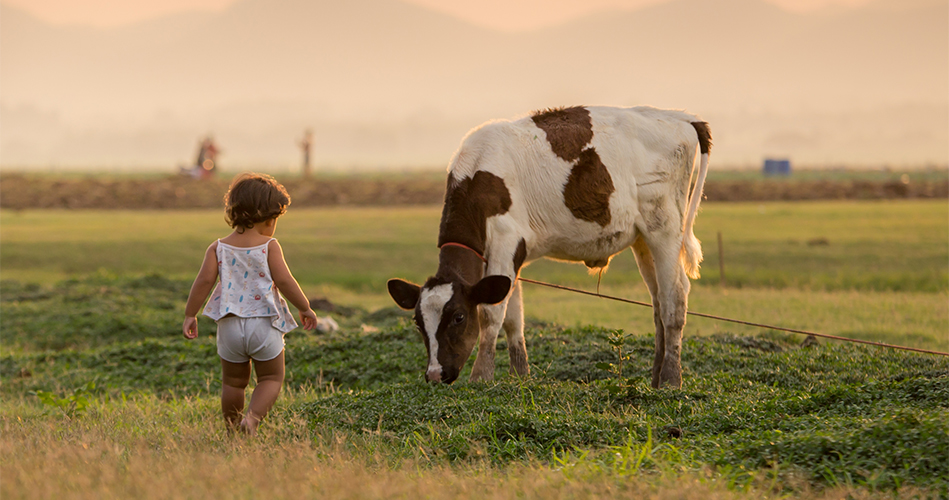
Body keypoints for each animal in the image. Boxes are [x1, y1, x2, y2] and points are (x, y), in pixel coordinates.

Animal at [386, 104, 712, 386]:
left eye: (458, 317)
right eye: (418, 322)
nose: (435, 374)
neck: (478, 175)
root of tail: (683, 117)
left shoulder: (506, 242)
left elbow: (492, 314)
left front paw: (481, 377)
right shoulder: (508, 255)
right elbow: (513, 318)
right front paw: (520, 377)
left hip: (665, 228)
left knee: (674, 298)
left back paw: (671, 379)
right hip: (643, 239)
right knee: (658, 303)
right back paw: (656, 378)